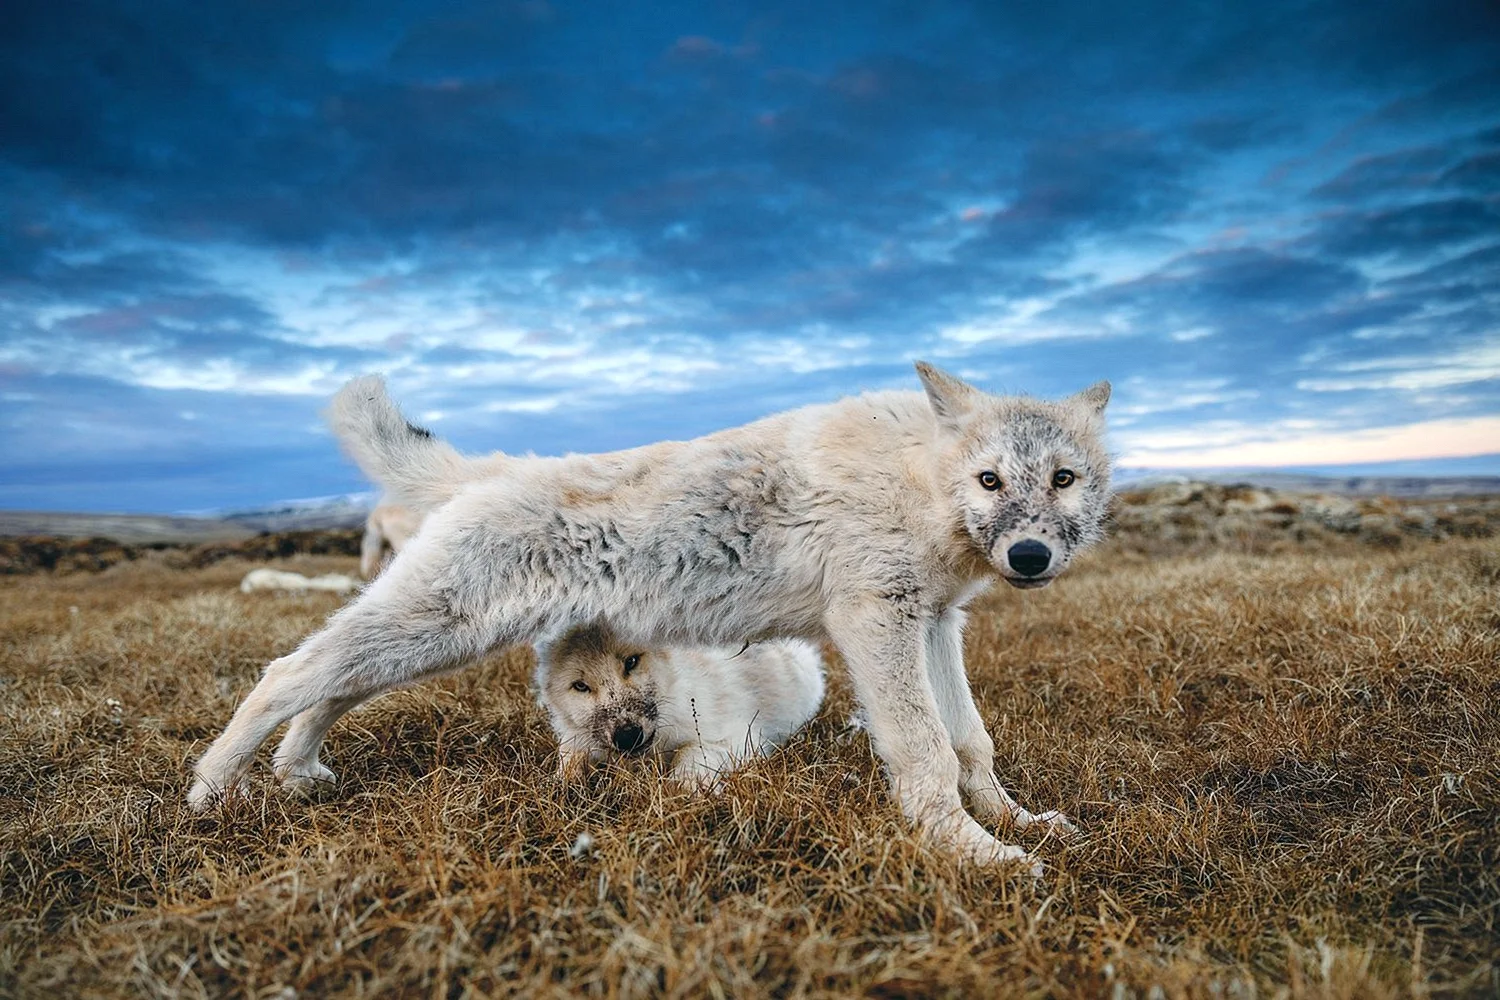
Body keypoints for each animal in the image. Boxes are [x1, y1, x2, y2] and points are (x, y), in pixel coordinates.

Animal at [537, 626, 828, 791]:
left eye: (631, 662)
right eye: (580, 686)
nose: (627, 737)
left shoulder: (738, 737)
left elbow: (691, 753)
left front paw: (684, 789)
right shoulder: (576, 738)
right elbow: (569, 756)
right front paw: (561, 784)